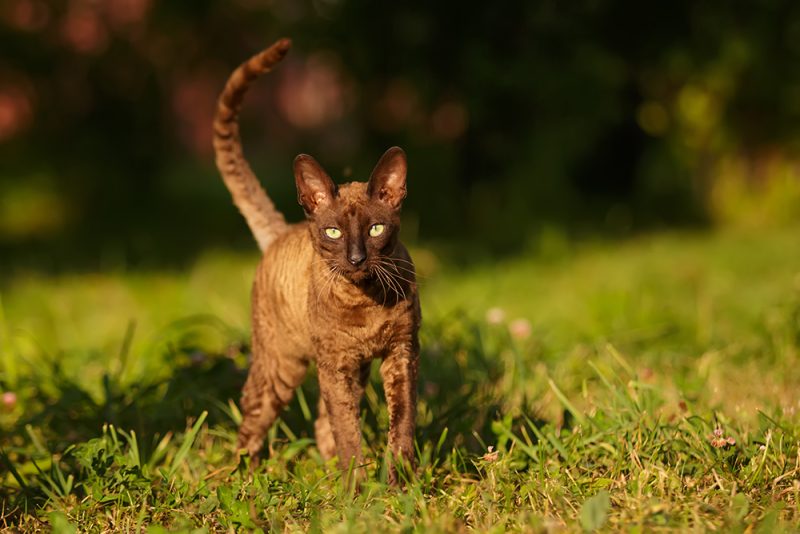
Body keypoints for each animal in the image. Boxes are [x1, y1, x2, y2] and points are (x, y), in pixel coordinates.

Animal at [212, 35, 424, 484]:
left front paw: (399, 484)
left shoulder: (400, 353)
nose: (357, 258)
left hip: (352, 372)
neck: (366, 301)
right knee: (253, 414)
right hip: (282, 365)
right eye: (333, 233)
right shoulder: (335, 363)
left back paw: (326, 475)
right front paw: (360, 490)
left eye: (375, 230)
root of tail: (281, 230)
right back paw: (244, 478)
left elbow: (400, 423)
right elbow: (347, 431)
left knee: (320, 424)